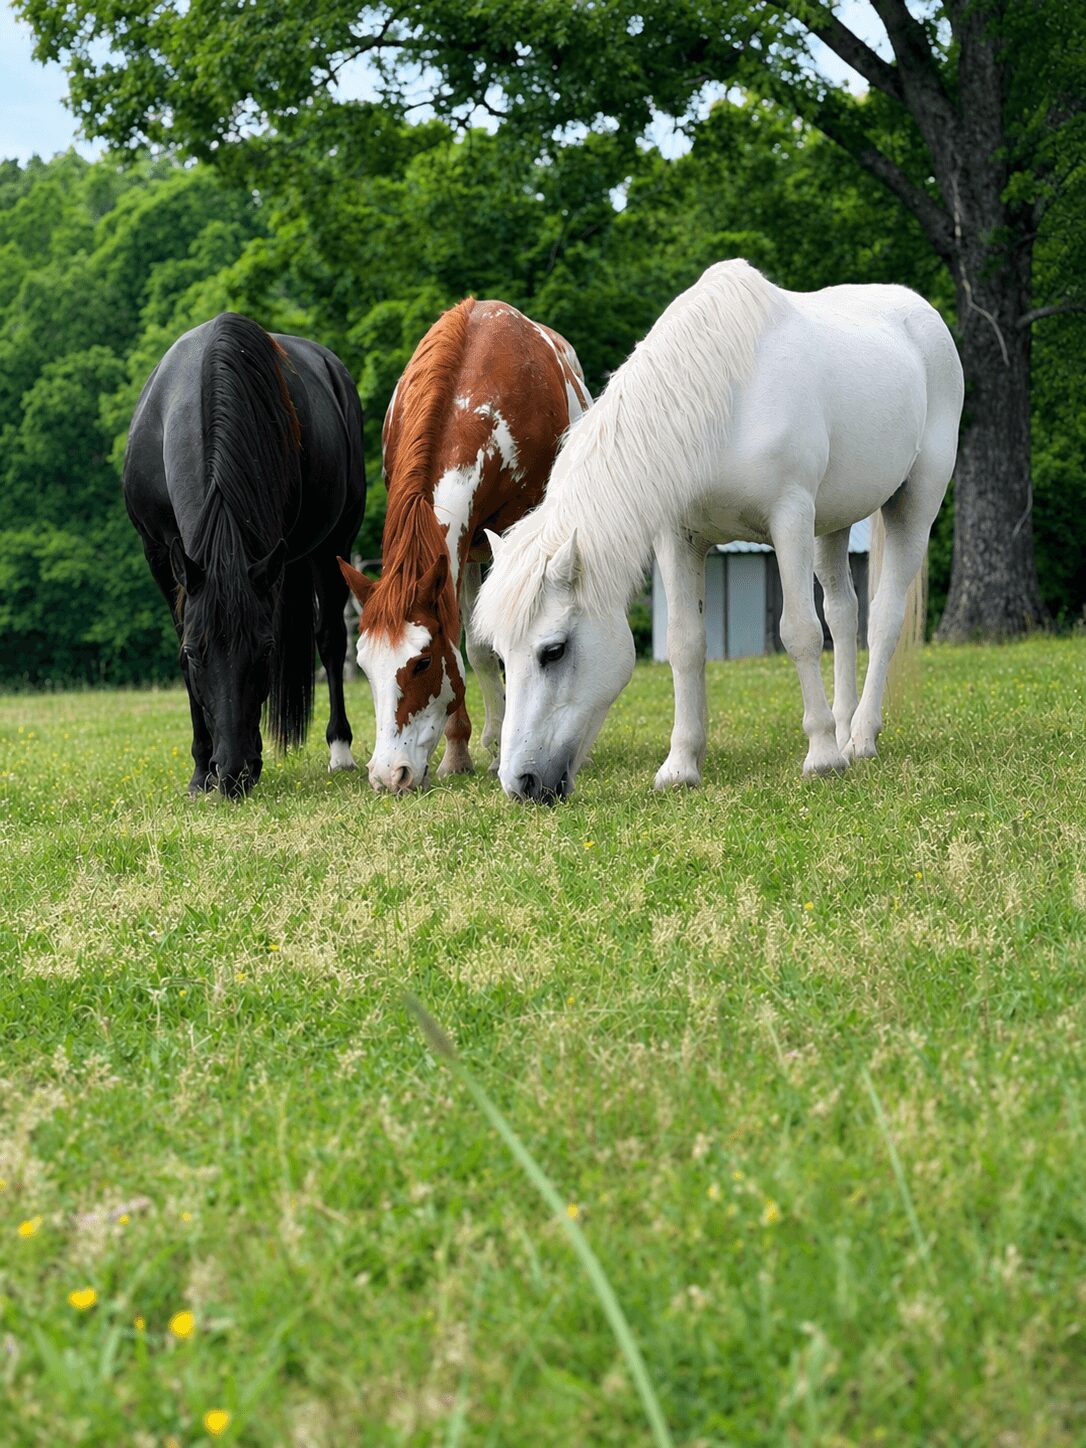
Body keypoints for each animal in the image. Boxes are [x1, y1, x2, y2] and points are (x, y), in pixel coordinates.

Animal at [124, 312, 366, 798]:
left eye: (266, 650)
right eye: (197, 652)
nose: (233, 772)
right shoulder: (160, 555)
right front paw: (199, 771)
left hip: (334, 543)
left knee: (332, 640)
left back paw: (340, 751)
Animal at [338, 298, 591, 793]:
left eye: (421, 663)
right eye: (364, 664)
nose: (388, 774)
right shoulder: (457, 550)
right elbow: (471, 647)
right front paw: (459, 753)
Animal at [473, 260, 964, 801]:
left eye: (553, 651)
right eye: (500, 653)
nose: (520, 783)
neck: (723, 398)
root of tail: (920, 312)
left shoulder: (790, 518)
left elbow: (799, 631)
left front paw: (820, 756)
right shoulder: (677, 537)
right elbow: (686, 644)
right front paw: (681, 765)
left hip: (914, 505)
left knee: (882, 619)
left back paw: (857, 739)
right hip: (831, 524)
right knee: (843, 614)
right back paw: (842, 727)